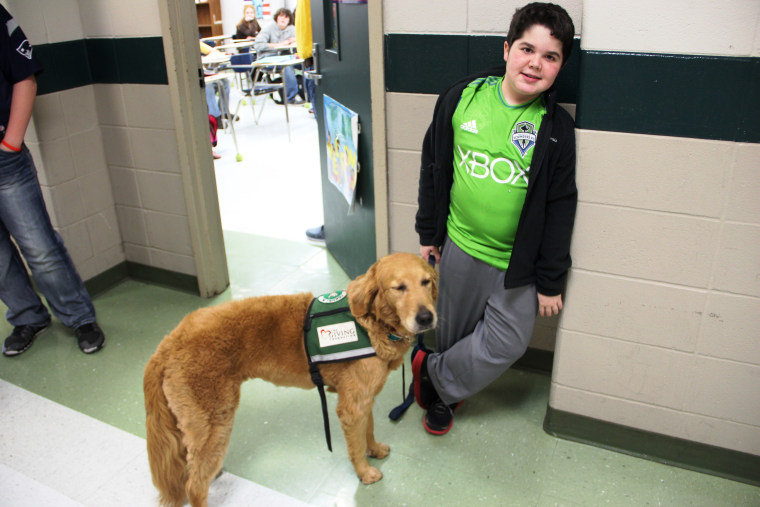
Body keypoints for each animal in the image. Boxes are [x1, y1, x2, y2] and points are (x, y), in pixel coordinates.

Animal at [145, 254, 436, 507]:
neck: (371, 323)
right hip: (215, 423)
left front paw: (373, 450)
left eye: (426, 282)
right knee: (193, 485)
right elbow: (356, 445)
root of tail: (167, 343)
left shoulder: (364, 399)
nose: (426, 317)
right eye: (399, 288)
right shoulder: (351, 408)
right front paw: (364, 473)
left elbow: (369, 431)